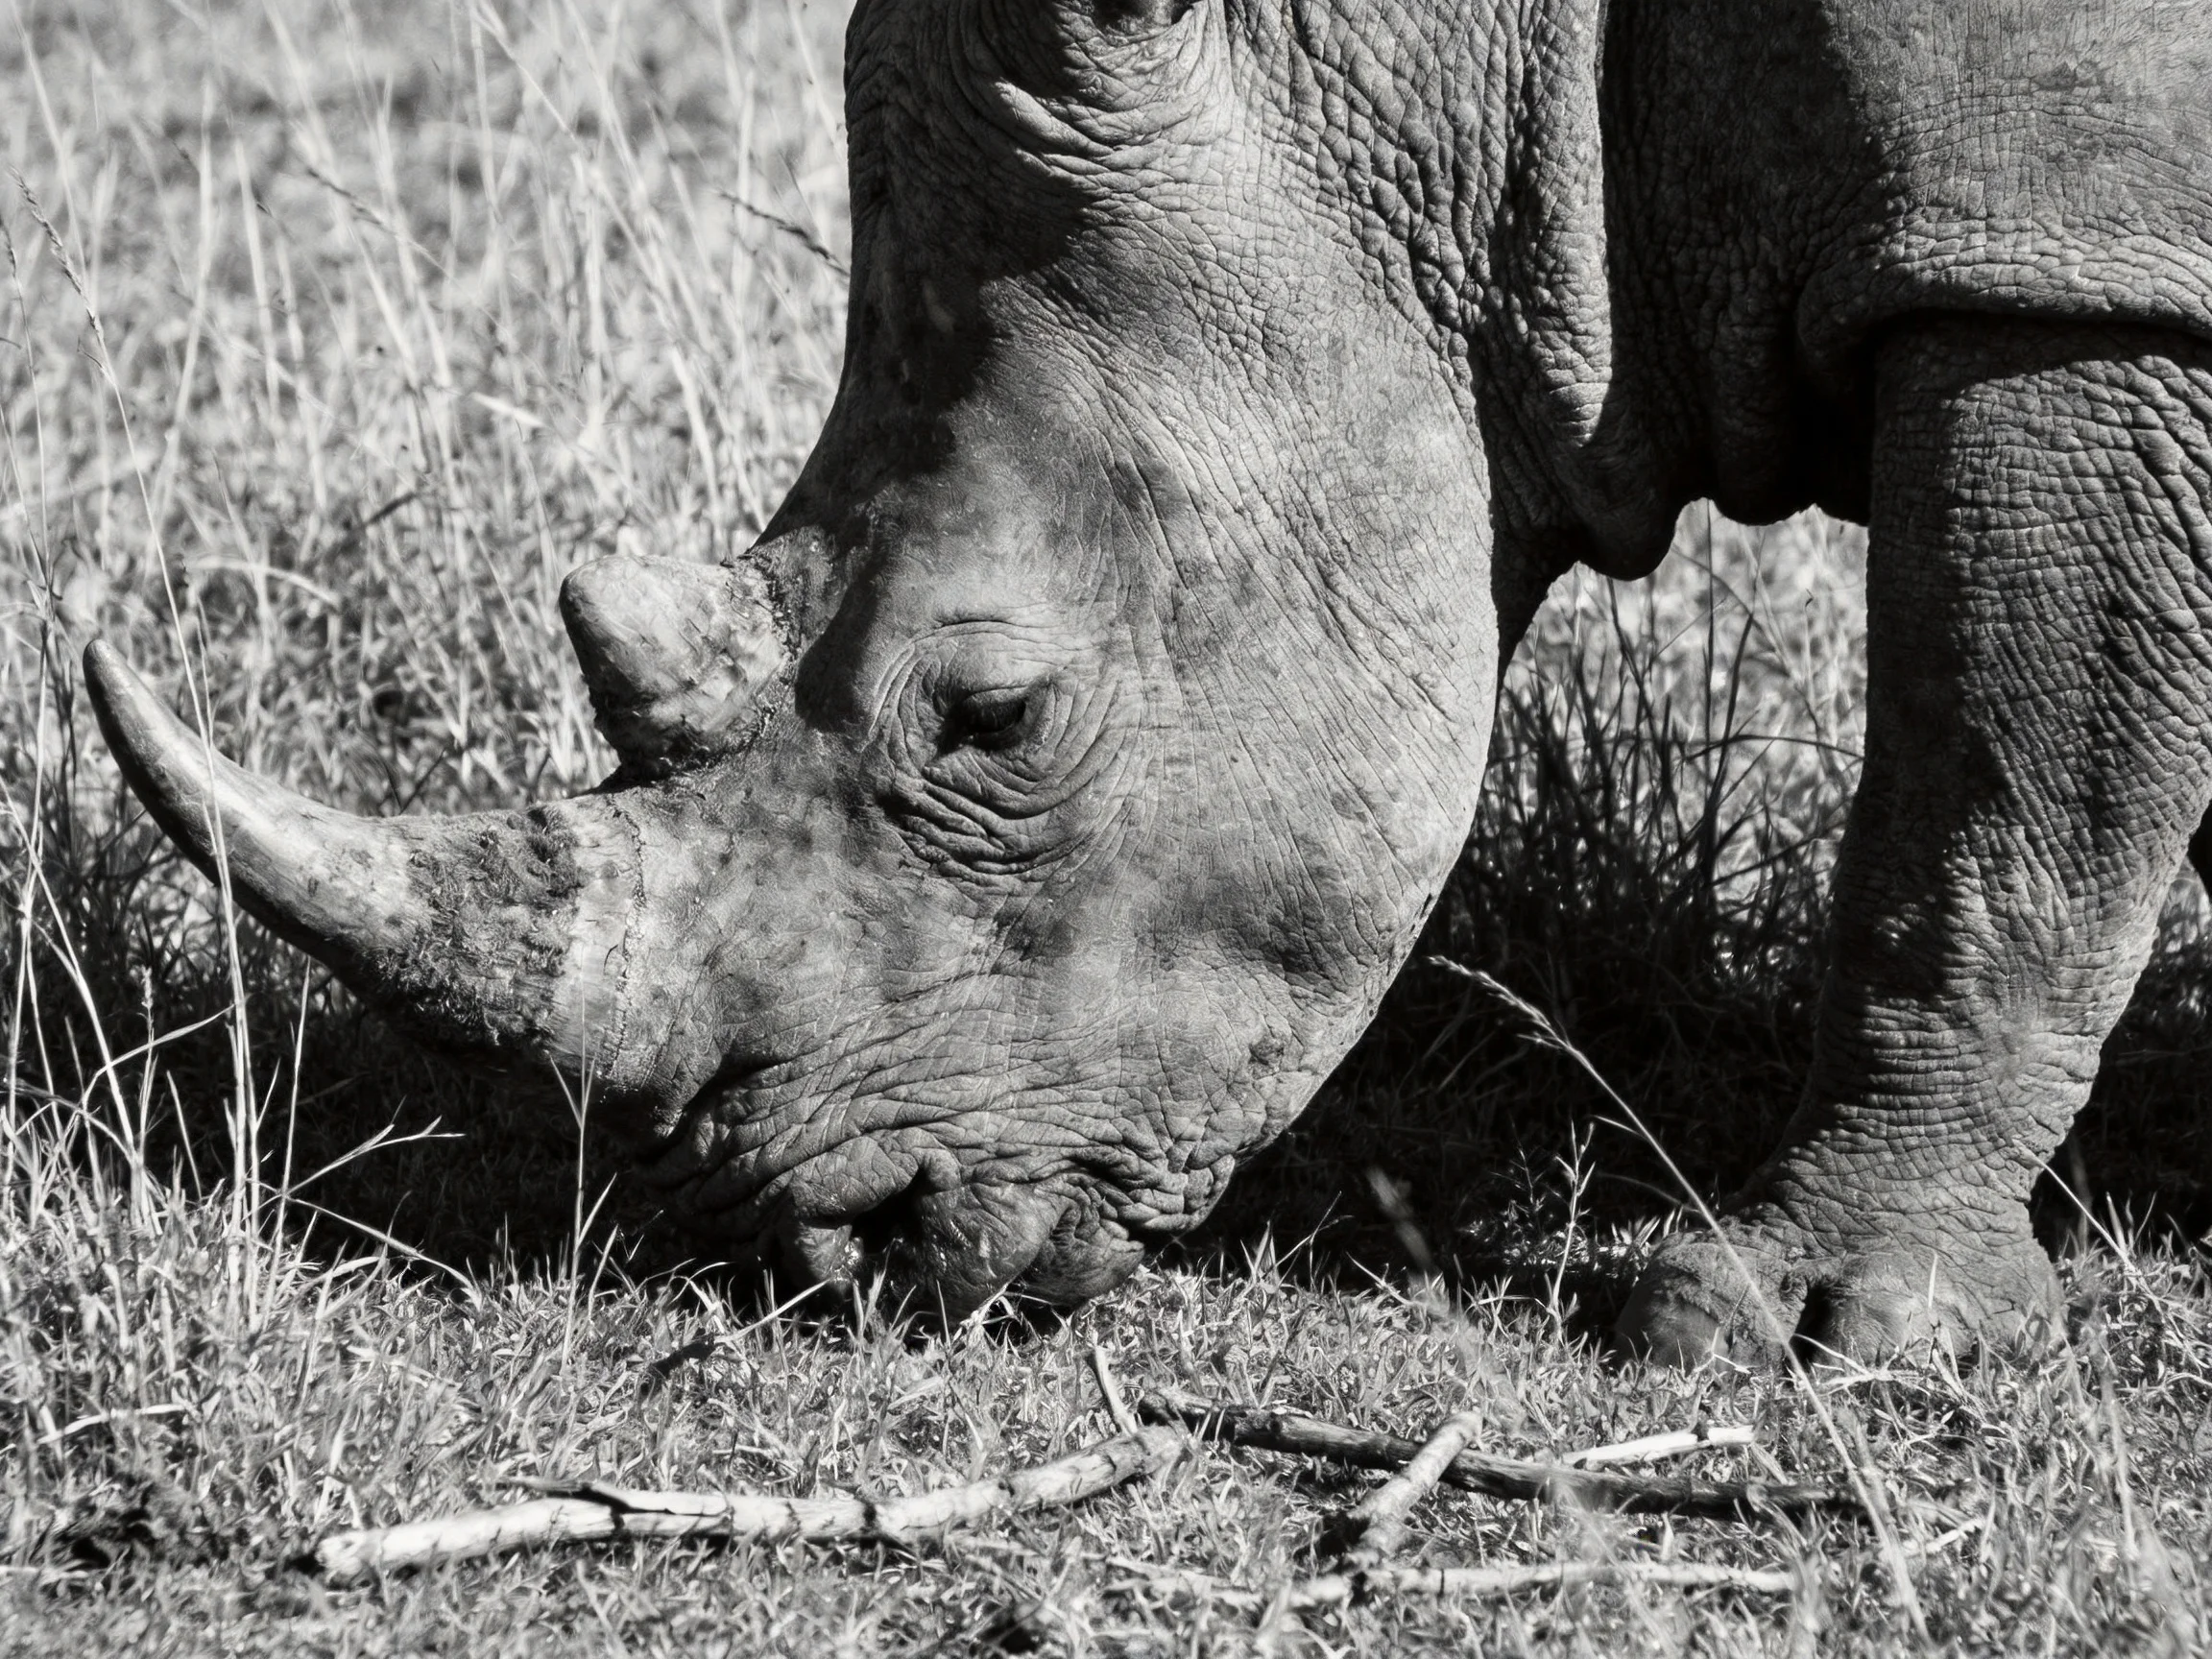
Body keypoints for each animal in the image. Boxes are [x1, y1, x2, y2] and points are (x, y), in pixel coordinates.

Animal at [86, 0, 2212, 1363]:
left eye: (995, 723)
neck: (1490, 74)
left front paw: (1796, 1328)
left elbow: (2000, 801)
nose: (833, 1250)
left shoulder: (2061, 263)